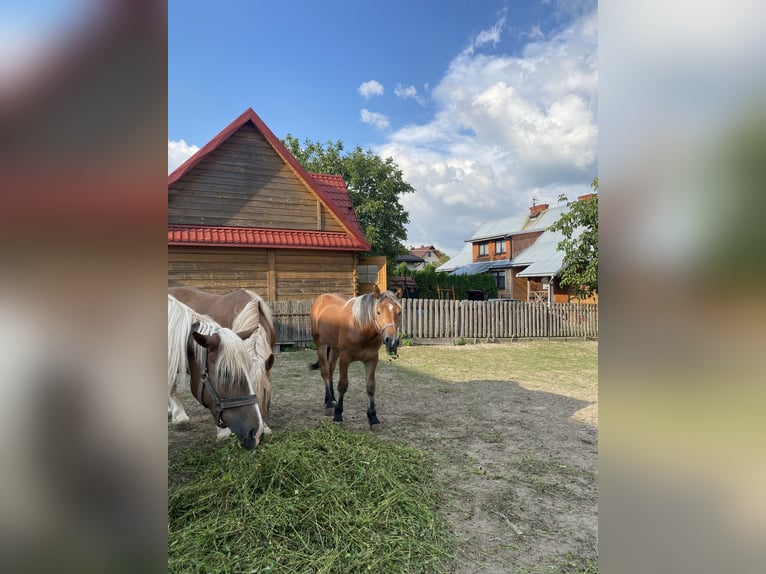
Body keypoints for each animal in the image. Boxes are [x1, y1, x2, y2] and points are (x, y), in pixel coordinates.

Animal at [308, 286, 404, 428]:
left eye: (399, 312)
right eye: (378, 312)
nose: (392, 340)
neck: (360, 327)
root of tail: (320, 298)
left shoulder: (372, 360)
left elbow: (370, 387)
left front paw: (373, 417)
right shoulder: (345, 359)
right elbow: (343, 385)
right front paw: (338, 414)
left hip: (334, 349)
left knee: (330, 370)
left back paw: (330, 399)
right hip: (320, 344)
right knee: (325, 371)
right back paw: (330, 403)